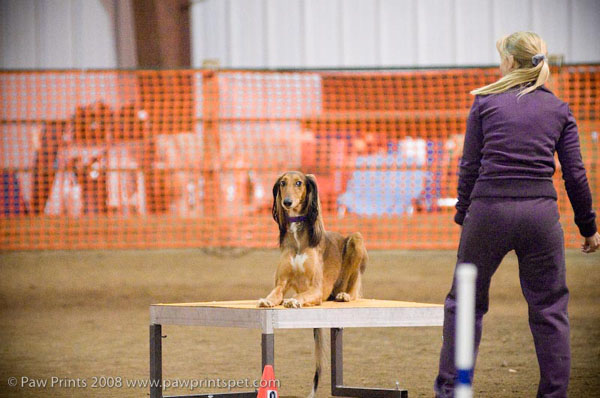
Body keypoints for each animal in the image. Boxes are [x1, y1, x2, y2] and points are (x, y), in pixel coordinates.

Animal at [256, 171, 366, 398]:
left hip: (356, 239)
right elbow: (274, 294)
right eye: (283, 183)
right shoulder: (281, 284)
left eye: (299, 183)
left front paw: (293, 301)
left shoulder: (316, 290)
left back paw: (345, 295)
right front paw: (267, 301)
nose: (287, 202)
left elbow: (300, 295)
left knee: (354, 288)